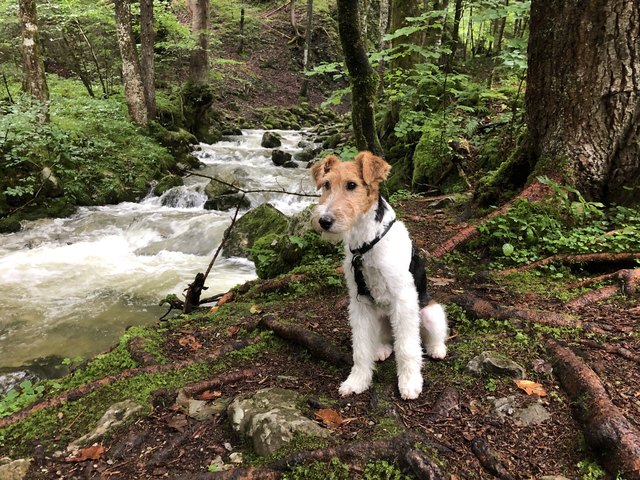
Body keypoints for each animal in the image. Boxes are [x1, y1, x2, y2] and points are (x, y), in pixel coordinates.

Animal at [312, 152, 448, 400]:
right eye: (326, 185)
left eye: (352, 185)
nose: (324, 221)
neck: (365, 245)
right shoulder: (359, 302)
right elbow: (360, 348)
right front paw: (357, 381)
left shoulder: (404, 299)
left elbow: (407, 348)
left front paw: (409, 383)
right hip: (379, 317)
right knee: (387, 340)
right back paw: (382, 349)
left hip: (429, 312)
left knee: (430, 336)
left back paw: (437, 349)